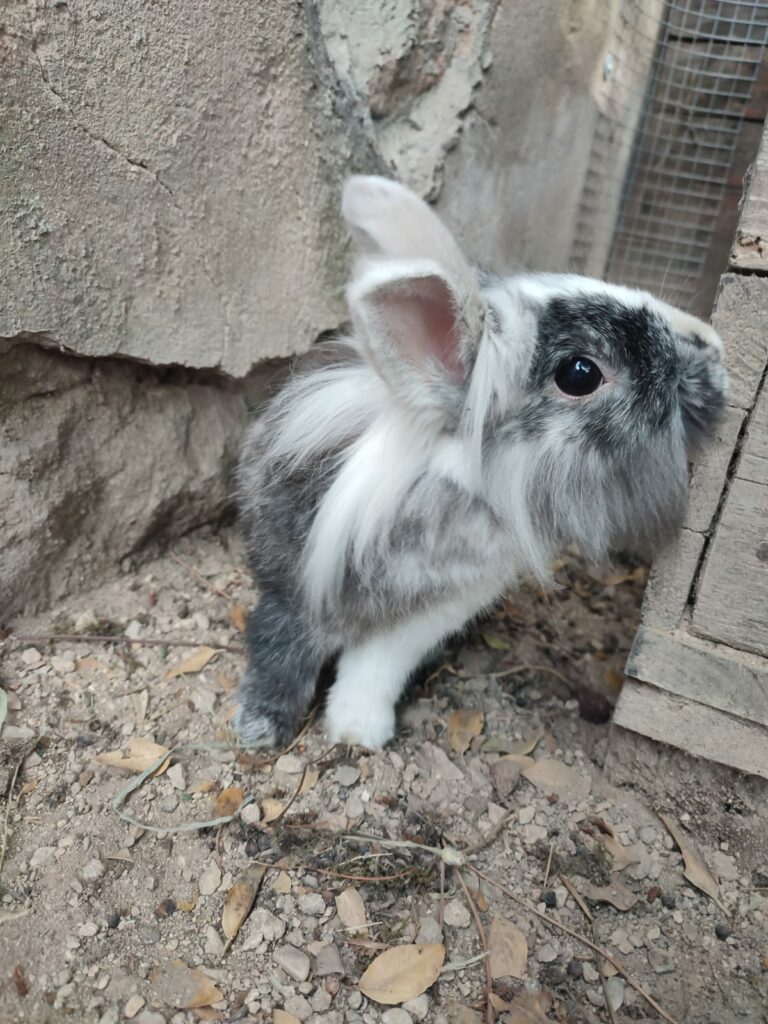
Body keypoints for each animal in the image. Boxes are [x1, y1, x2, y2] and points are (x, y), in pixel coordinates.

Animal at [234, 175, 728, 750]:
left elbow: (365, 667)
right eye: (580, 373)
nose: (713, 347)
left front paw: (354, 730)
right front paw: (307, 732)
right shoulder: (364, 597)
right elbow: (319, 657)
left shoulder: (431, 607)